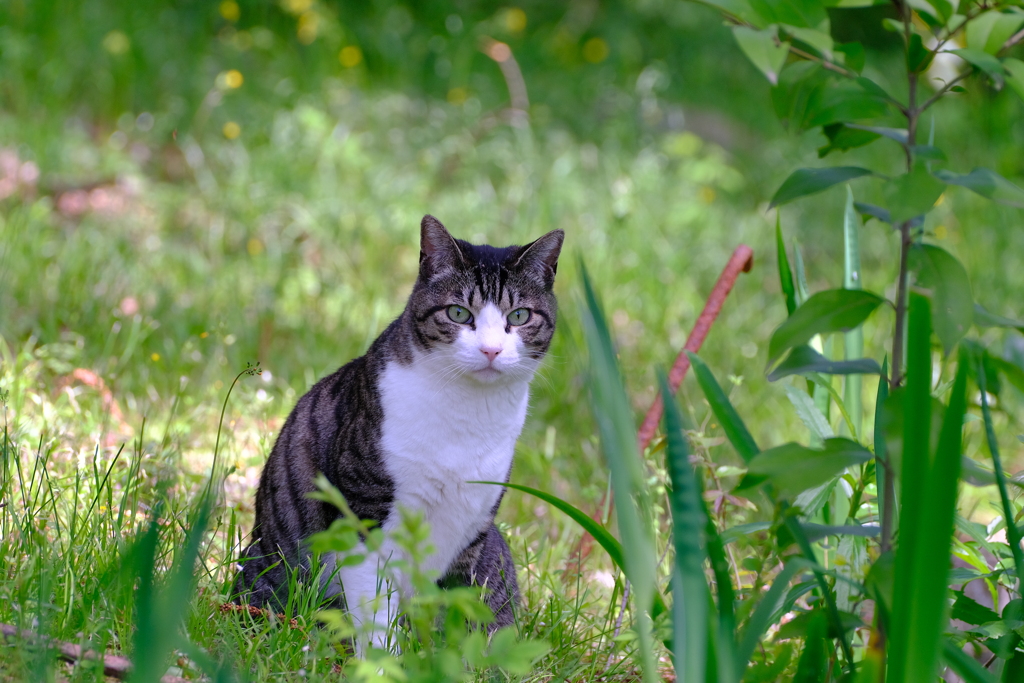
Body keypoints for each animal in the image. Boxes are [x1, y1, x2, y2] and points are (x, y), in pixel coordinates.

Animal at [234, 215, 565, 651]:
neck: (467, 415)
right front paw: (382, 658)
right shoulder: (364, 510)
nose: (491, 350)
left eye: (520, 316)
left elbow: (455, 603)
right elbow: (375, 604)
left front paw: (442, 654)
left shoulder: (473, 524)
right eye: (458, 313)